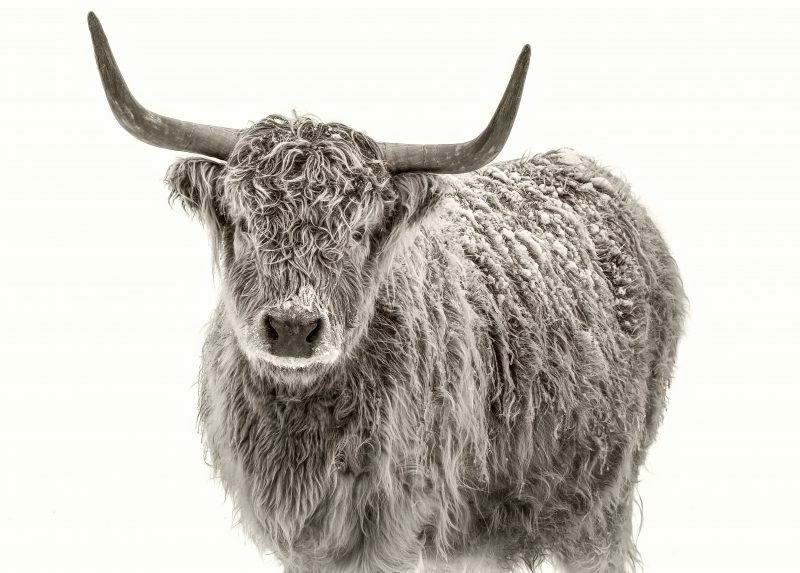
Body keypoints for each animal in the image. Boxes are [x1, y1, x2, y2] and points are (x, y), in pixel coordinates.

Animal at [88, 12, 685, 573]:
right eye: (244, 223)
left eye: (357, 230)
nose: (292, 328)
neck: (302, 429)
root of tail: (597, 177)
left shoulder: (390, 524)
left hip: (601, 500)